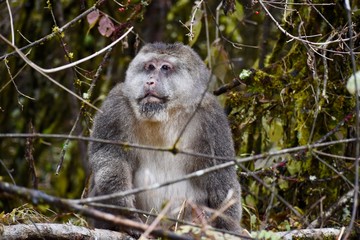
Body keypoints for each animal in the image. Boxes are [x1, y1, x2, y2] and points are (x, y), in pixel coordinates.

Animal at [88, 41, 242, 232]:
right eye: (150, 67)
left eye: (165, 68)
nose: (149, 81)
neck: (167, 114)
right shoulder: (115, 106)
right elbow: (111, 157)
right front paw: (125, 212)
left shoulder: (212, 119)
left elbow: (221, 175)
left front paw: (229, 228)